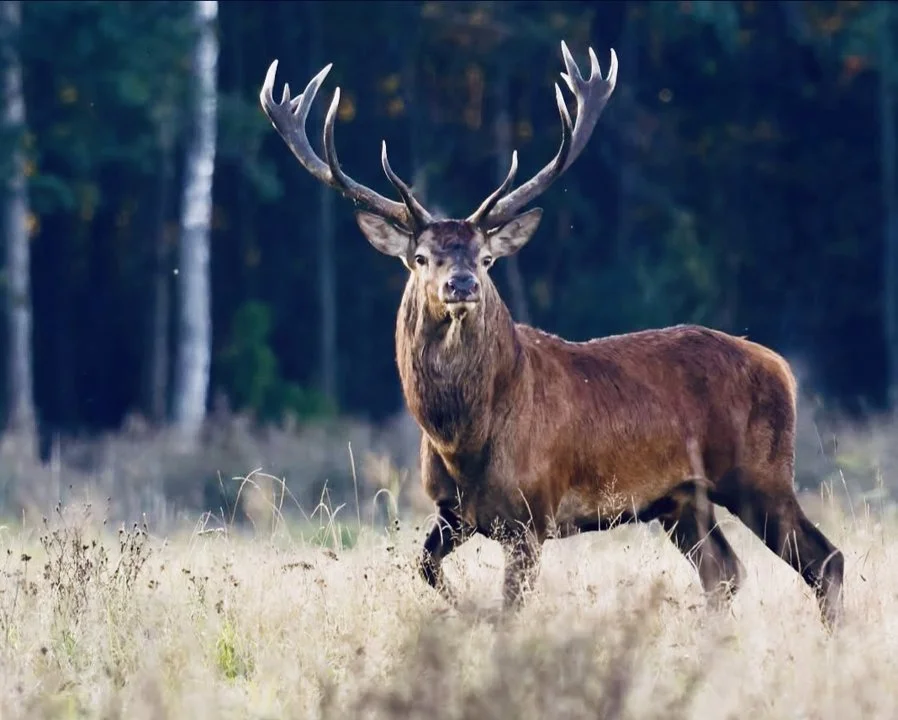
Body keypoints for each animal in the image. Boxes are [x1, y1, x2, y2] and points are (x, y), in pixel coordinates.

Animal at [259, 40, 844, 628]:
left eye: (487, 257)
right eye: (420, 257)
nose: (462, 284)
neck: (462, 439)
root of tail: (780, 366)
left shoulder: (531, 514)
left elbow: (510, 609)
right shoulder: (454, 511)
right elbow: (423, 567)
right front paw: (465, 612)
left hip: (759, 474)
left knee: (824, 559)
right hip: (681, 499)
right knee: (724, 572)